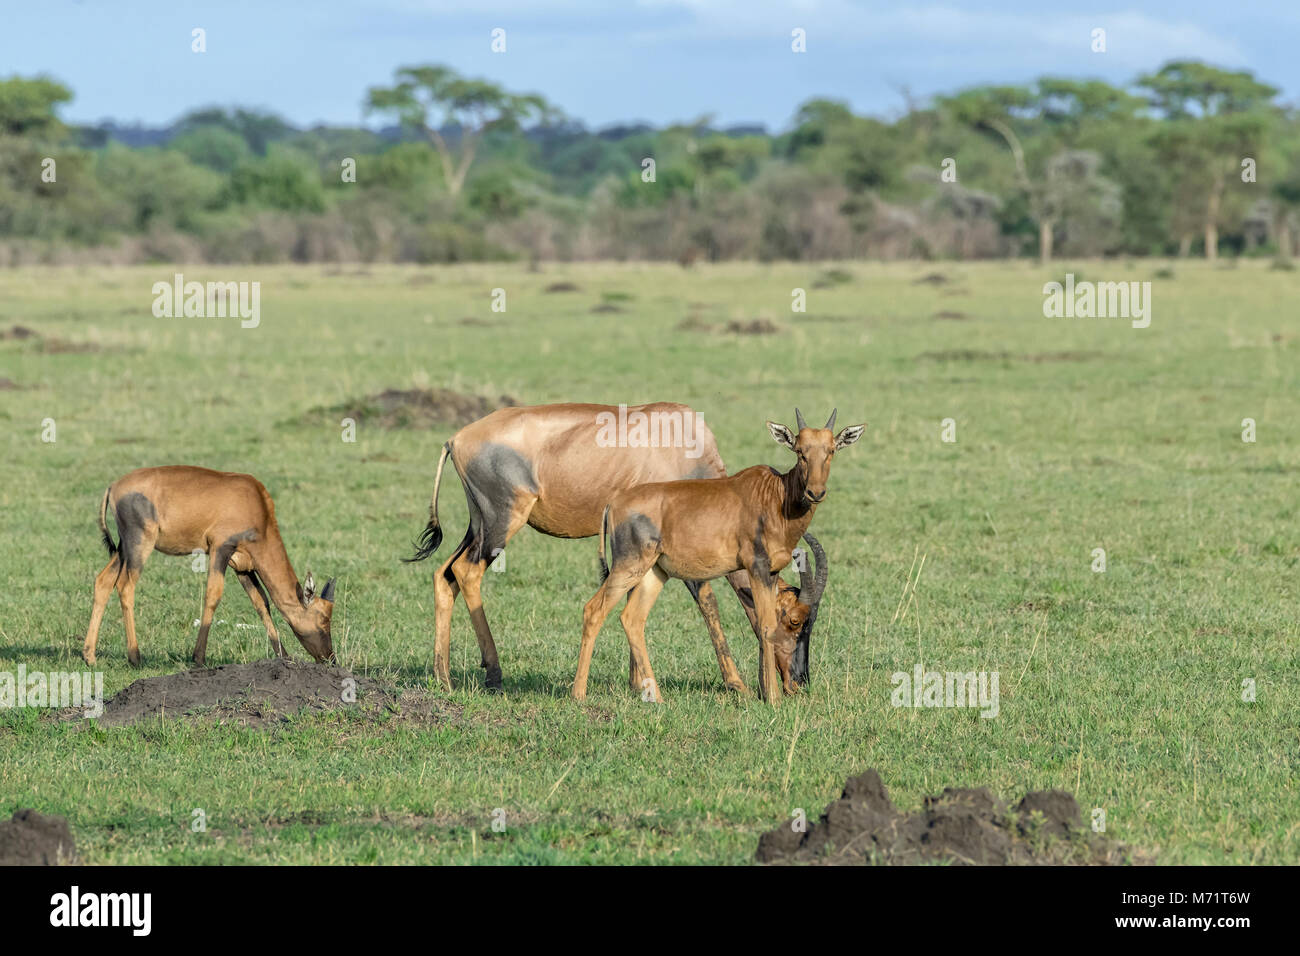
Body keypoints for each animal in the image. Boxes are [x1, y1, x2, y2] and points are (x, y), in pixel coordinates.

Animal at [81, 468, 335, 671]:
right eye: (323, 618)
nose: (330, 660)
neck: (254, 502)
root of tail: (113, 487)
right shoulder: (220, 549)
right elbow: (213, 595)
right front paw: (199, 658)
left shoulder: (243, 567)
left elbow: (261, 602)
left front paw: (284, 656)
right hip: (139, 543)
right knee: (125, 586)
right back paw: (135, 657)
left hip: (123, 547)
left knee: (103, 581)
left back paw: (89, 656)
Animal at [574, 408, 857, 707]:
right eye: (800, 450)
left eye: (831, 450)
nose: (799, 683)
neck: (774, 495)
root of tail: (613, 504)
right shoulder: (756, 567)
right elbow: (766, 625)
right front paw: (773, 699)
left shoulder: (770, 573)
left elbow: (761, 624)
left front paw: (764, 692)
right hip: (628, 566)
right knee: (593, 610)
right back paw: (578, 694)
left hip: (654, 572)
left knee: (632, 619)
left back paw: (657, 697)